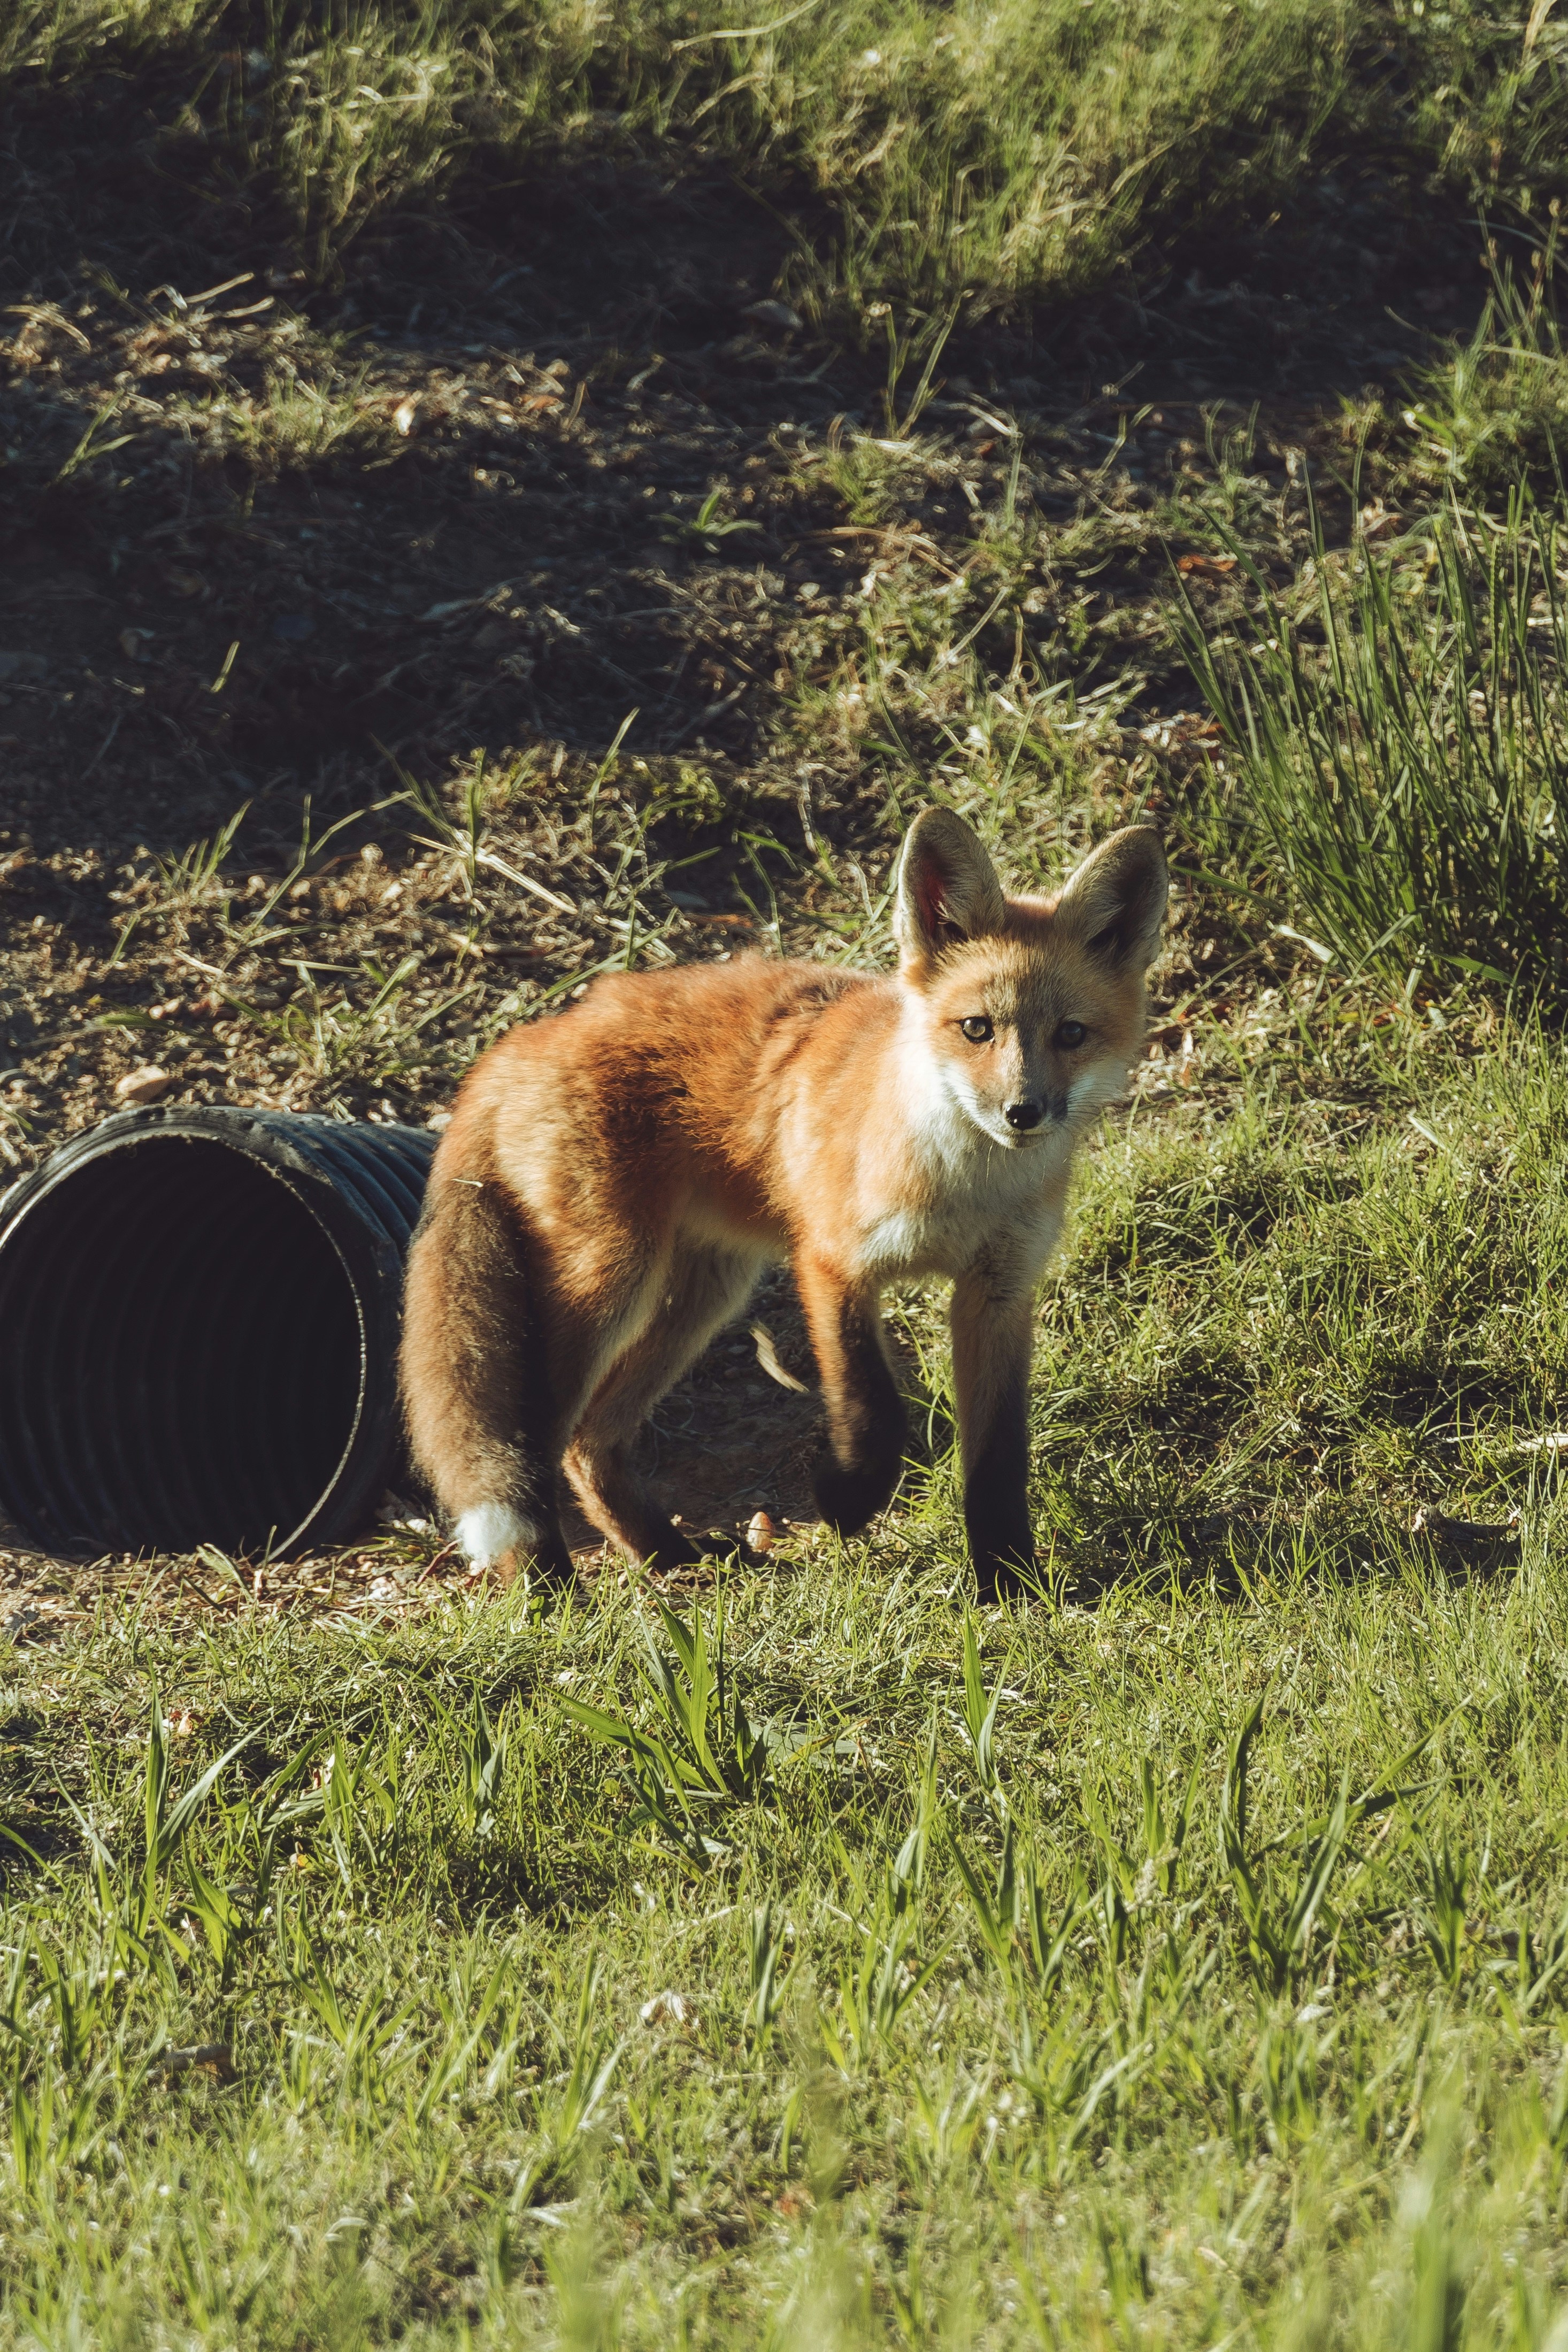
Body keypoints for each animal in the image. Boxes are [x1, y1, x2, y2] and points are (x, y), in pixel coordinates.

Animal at [399, 807, 1167, 1599]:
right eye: (977, 1028)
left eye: (1070, 1034)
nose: (1023, 1112)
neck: (965, 1192)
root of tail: (517, 1043)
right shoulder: (831, 1263)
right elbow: (873, 1405)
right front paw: (849, 1499)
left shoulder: (999, 1294)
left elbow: (998, 1454)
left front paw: (1008, 1579)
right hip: (613, 1280)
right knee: (536, 1442)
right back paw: (547, 1583)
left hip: (702, 1294)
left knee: (591, 1441)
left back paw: (666, 1556)